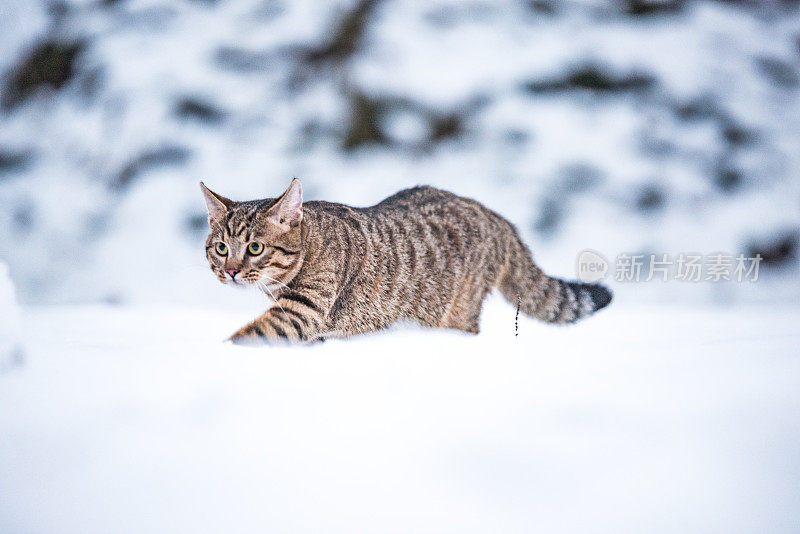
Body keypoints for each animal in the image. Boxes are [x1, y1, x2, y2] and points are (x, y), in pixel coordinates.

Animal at [202, 181, 612, 348]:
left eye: (255, 247)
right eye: (221, 248)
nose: (232, 271)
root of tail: (494, 215)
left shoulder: (302, 312)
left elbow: (252, 335)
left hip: (456, 313)